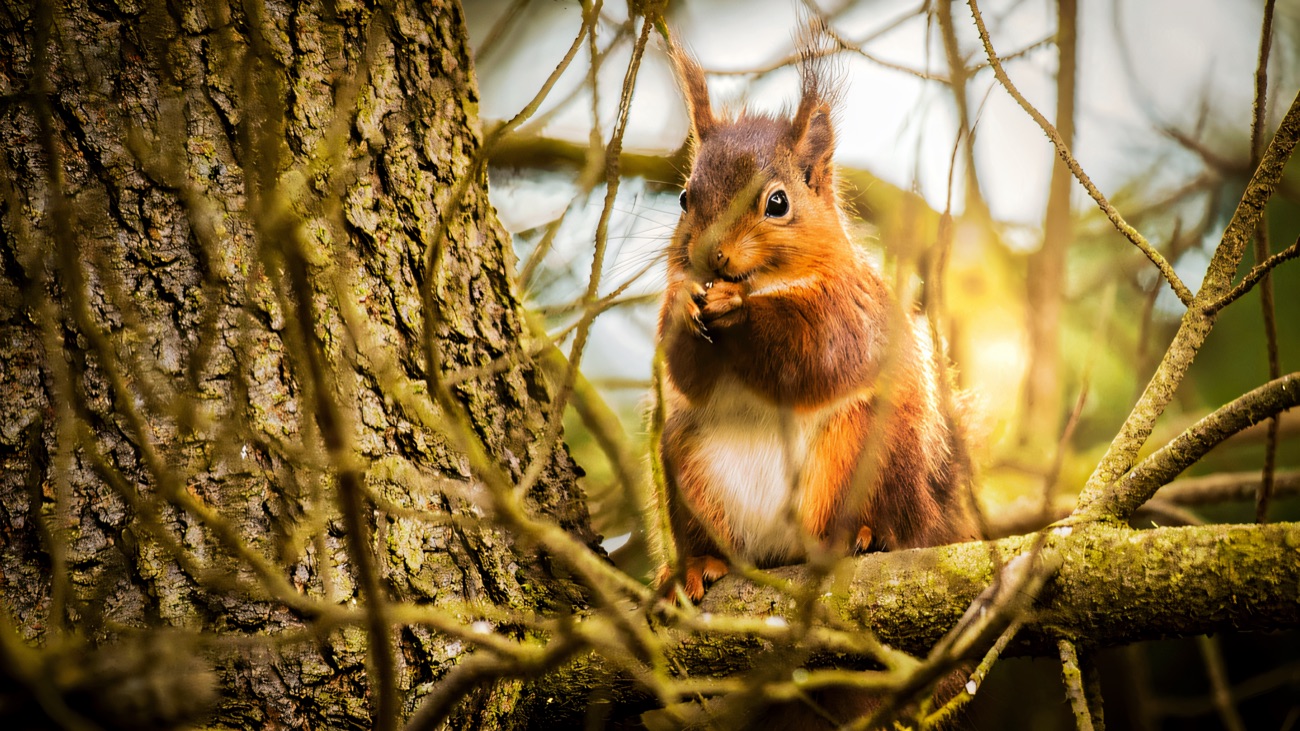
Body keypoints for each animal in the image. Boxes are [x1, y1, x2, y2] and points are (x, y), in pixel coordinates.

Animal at [655, 39, 980, 603]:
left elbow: (816, 357)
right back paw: (697, 565)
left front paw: (736, 310)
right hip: (685, 461)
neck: (766, 284)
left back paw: (864, 535)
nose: (708, 257)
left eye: (777, 203)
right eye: (683, 198)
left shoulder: (853, 310)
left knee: (889, 523)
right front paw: (681, 302)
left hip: (874, 452)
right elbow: (689, 377)